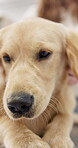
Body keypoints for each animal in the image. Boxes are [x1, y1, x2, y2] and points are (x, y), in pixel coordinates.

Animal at [0, 17, 77, 148]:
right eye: (6, 57)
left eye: (44, 53)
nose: (18, 104)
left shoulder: (66, 104)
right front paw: (28, 141)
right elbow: (10, 123)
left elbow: (63, 118)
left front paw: (58, 139)